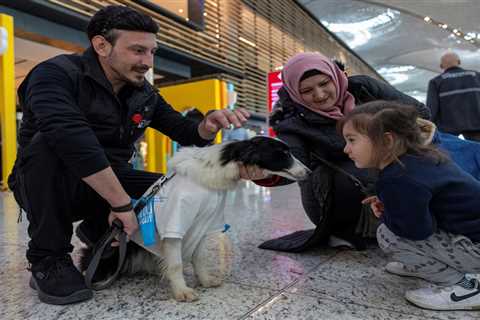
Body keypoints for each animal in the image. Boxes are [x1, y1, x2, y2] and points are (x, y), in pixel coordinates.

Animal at [81, 136, 310, 302]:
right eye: (283, 153)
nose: (309, 172)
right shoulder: (176, 223)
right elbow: (176, 264)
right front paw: (182, 291)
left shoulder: (205, 224)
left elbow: (199, 258)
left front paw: (205, 280)